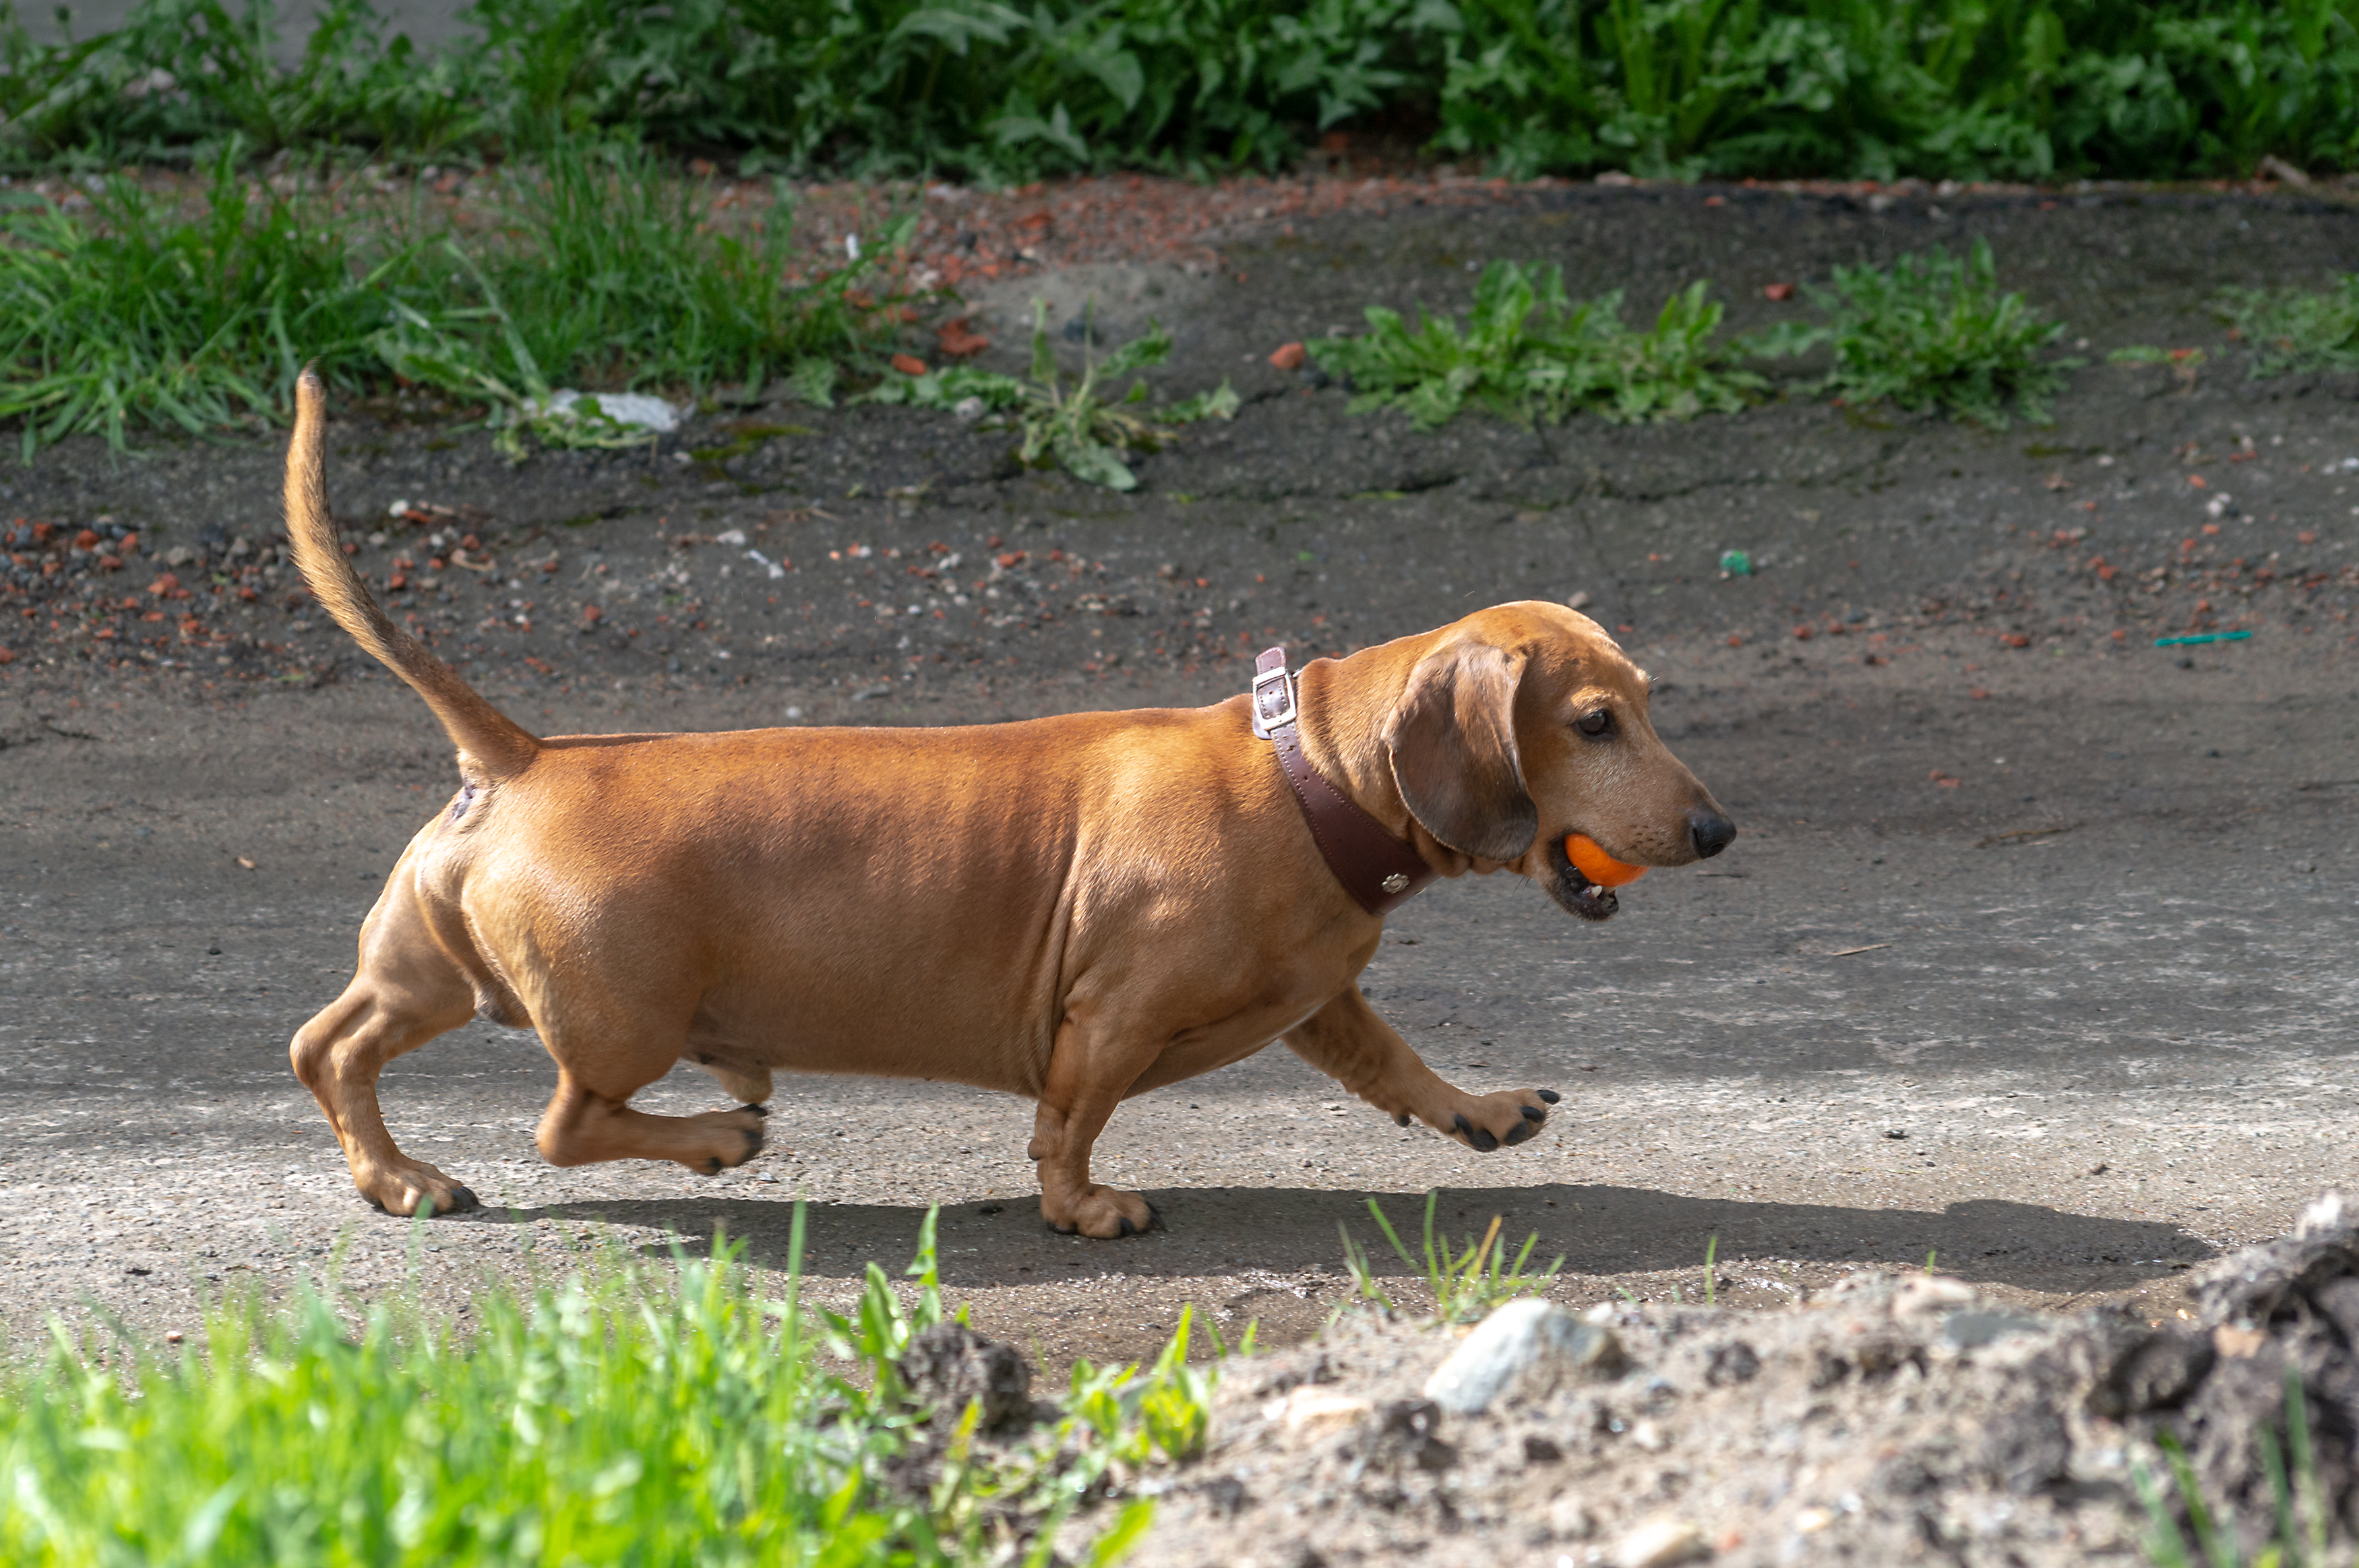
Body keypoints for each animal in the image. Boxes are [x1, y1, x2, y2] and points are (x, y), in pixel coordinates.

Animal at [280, 372, 1736, 1226]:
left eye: (1645, 700)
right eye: (1593, 721)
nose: (1719, 831)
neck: (1305, 770)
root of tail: (525, 755)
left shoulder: (1322, 1001)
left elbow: (1396, 1064)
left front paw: (1478, 1109)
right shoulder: (1111, 1017)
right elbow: (1070, 1126)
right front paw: (1085, 1208)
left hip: (429, 974)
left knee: (329, 1045)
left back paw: (399, 1176)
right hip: (620, 1018)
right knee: (566, 1120)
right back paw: (711, 1137)